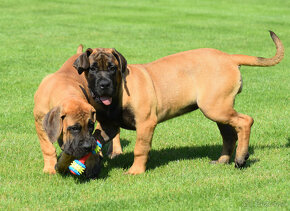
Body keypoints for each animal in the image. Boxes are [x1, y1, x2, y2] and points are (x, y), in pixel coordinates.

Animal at [73, 30, 284, 174]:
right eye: (92, 69)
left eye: (112, 68)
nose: (104, 85)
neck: (119, 92)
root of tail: (229, 57)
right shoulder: (109, 127)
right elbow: (95, 138)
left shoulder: (146, 123)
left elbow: (140, 148)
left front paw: (136, 171)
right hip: (219, 109)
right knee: (230, 135)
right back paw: (223, 160)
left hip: (216, 108)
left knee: (245, 121)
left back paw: (241, 158)